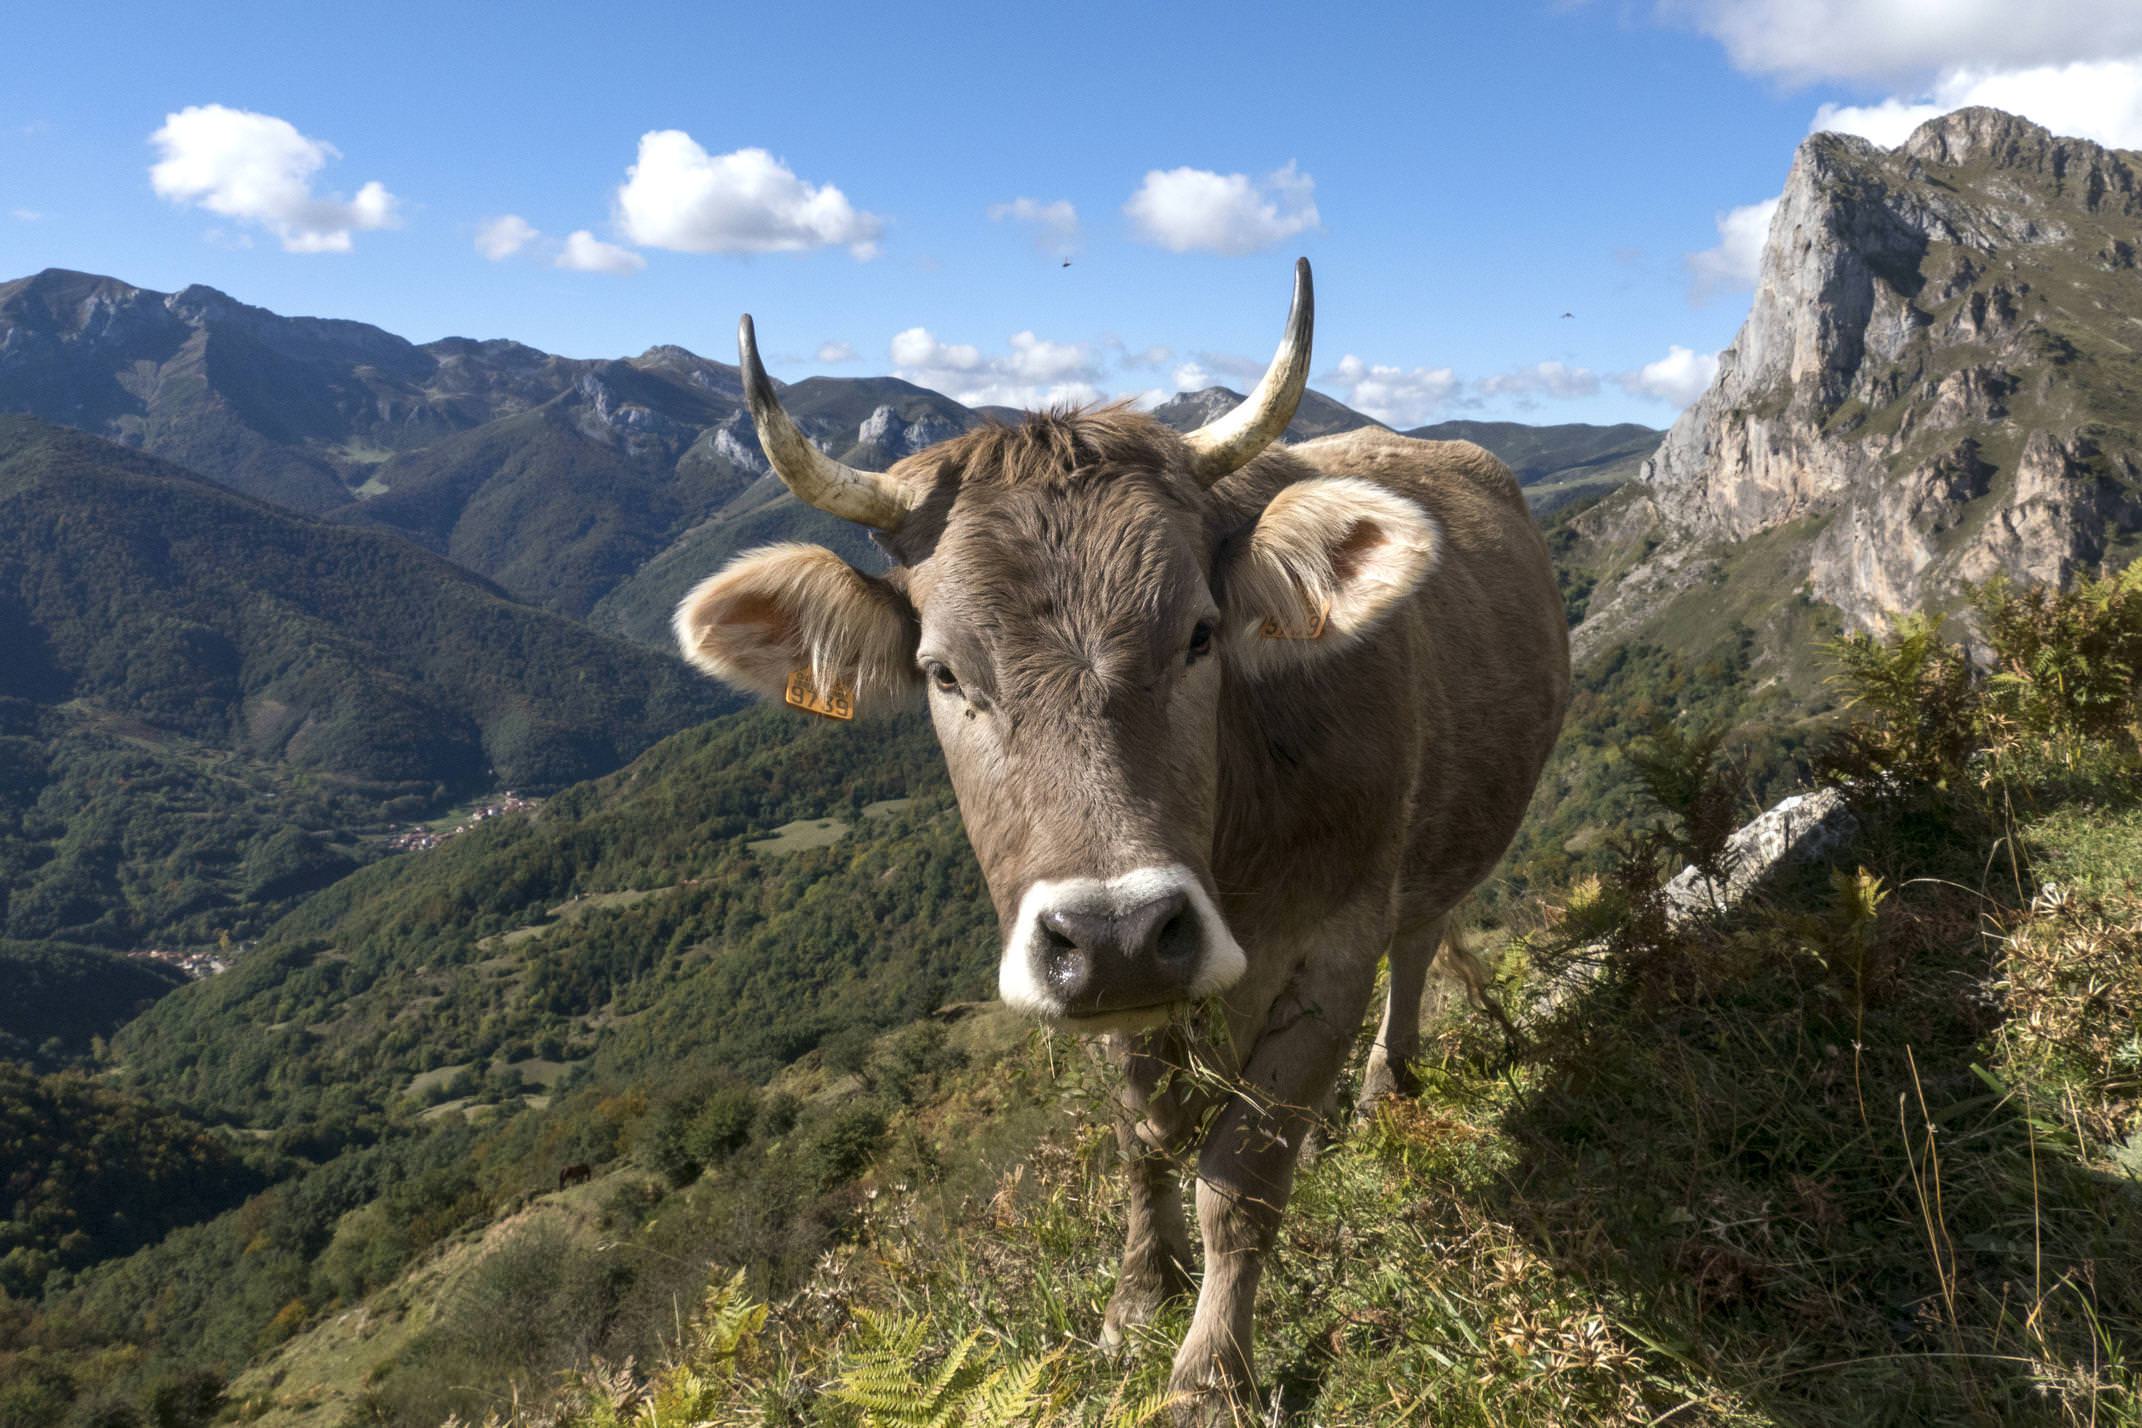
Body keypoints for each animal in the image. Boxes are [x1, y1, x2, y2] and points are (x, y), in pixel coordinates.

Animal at [676, 260, 1567, 1421]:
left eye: (1199, 634)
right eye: (943, 672)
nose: (1119, 935)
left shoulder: (1332, 946)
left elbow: (1241, 1177)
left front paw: (1210, 1375)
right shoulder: (1108, 998)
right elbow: (1146, 1138)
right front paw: (1140, 1298)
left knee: (1416, 948)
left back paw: (1385, 1088)